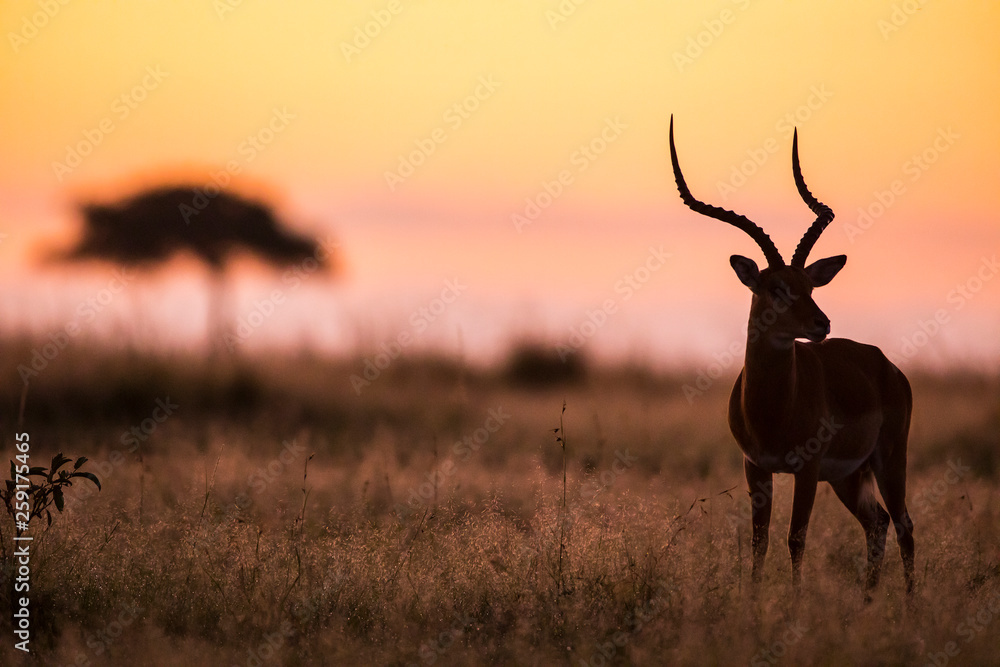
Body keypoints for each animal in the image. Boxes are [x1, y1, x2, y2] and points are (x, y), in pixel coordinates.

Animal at [669, 117, 914, 596]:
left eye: (809, 284)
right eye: (775, 287)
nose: (822, 323)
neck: (772, 410)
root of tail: (887, 366)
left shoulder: (806, 468)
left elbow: (795, 539)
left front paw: (795, 604)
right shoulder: (756, 468)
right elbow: (760, 541)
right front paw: (753, 601)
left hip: (889, 459)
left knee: (904, 527)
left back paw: (910, 605)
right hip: (848, 476)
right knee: (877, 524)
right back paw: (867, 602)